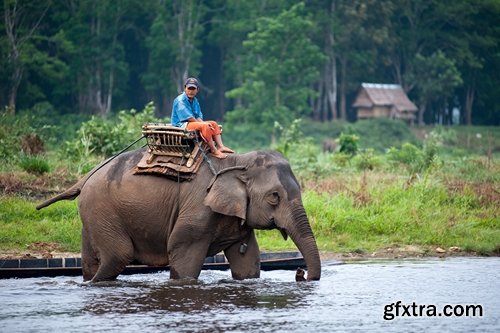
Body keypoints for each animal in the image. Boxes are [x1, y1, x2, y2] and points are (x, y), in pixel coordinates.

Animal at [37, 149, 322, 282]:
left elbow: (247, 261)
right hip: (103, 211)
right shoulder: (198, 208)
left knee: (92, 260)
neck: (237, 162)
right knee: (118, 255)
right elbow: (182, 250)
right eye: (274, 196)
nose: (301, 273)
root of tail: (85, 178)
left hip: (93, 216)